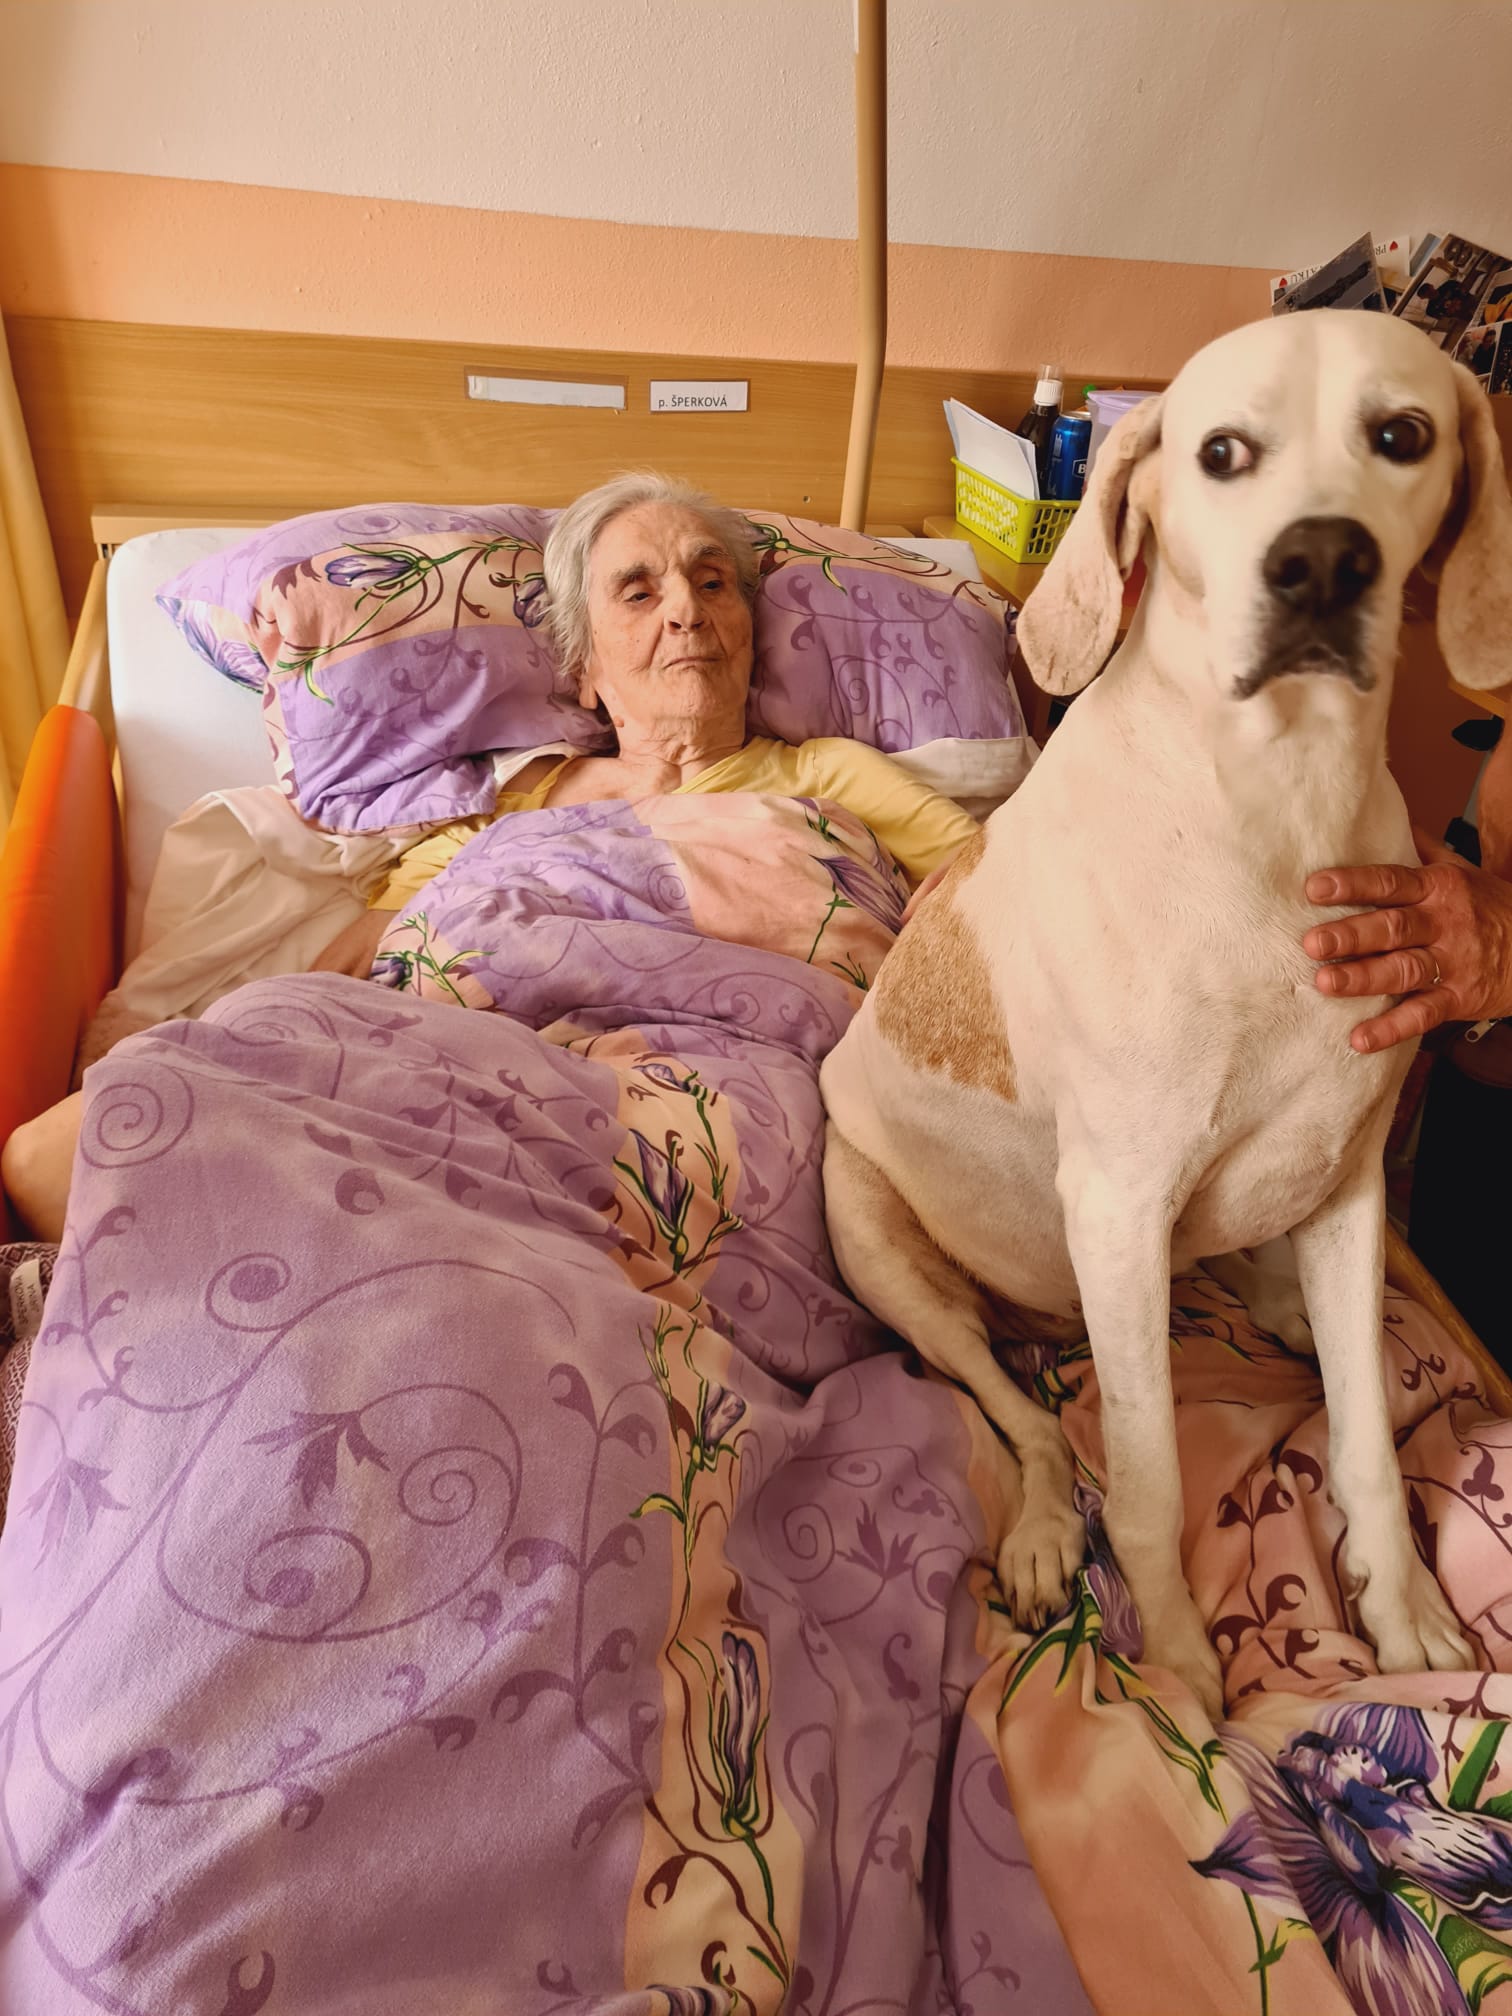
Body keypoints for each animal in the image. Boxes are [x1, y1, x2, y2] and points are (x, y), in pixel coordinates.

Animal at [820, 310, 1512, 1714]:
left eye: (1403, 434)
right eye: (1222, 452)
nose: (1321, 561)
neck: (1281, 797)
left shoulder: (1349, 1182)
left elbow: (1366, 1429)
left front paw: (1404, 1610)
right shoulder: (1121, 1205)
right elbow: (1142, 1477)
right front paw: (1184, 1664)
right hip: (885, 1252)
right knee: (1028, 1417)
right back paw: (1042, 1530)